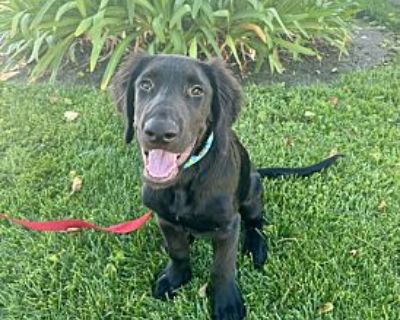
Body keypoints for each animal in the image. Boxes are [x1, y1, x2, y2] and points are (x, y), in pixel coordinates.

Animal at [109, 52, 340, 320]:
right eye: (145, 85)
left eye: (196, 91)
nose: (158, 132)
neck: (186, 179)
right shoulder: (164, 218)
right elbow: (178, 251)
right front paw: (176, 277)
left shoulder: (228, 225)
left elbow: (223, 266)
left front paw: (226, 302)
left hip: (252, 191)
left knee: (256, 222)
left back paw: (256, 246)